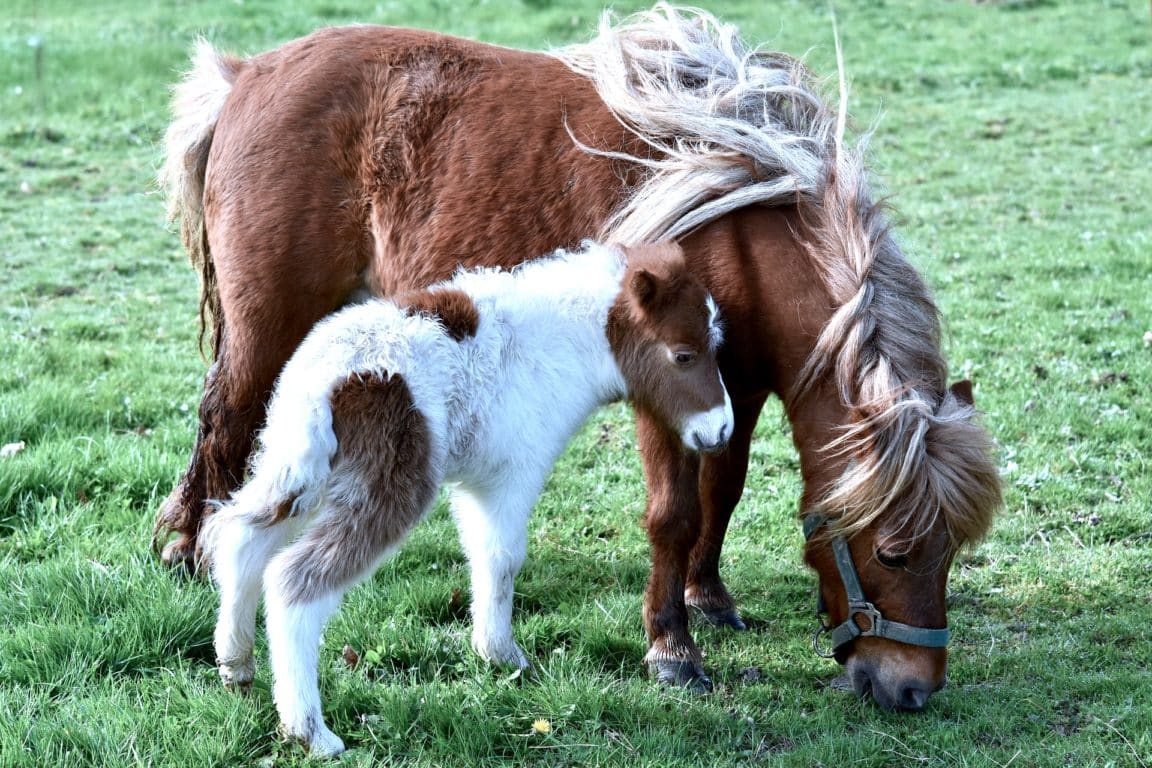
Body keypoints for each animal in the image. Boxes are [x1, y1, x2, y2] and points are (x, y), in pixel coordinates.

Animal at [200, 240, 733, 755]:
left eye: (714, 347)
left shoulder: (477, 485)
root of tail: (325, 380)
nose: (722, 429)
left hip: (296, 467)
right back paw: (310, 731)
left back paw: (236, 665)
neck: (559, 343)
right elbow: (502, 559)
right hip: (387, 484)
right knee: (293, 581)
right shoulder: (511, 475)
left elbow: (481, 557)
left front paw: (492, 655)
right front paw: (504, 655)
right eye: (683, 355)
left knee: (241, 540)